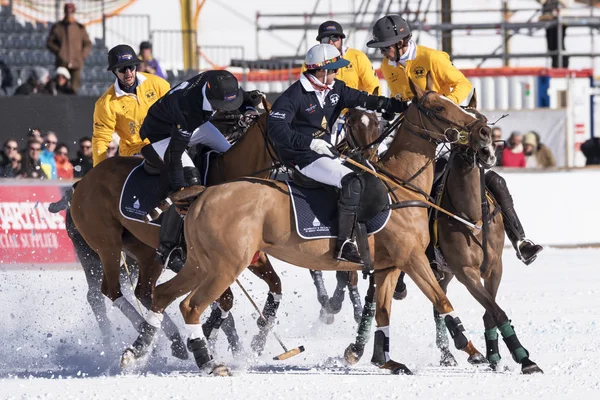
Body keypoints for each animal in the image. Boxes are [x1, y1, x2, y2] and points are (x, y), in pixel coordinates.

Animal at [67, 107, 282, 360]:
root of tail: (80, 183)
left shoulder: (250, 255)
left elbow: (275, 284)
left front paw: (257, 339)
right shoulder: (207, 262)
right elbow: (226, 300)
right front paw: (209, 335)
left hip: (144, 251)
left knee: (143, 291)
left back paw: (172, 339)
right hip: (104, 245)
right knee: (109, 290)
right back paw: (147, 336)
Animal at [120, 79, 492, 376]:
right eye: (437, 107)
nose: (484, 130)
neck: (399, 186)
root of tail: (203, 193)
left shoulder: (389, 266)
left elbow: (383, 313)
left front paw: (385, 360)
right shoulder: (412, 259)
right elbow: (442, 301)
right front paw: (474, 351)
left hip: (201, 263)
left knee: (162, 296)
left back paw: (135, 353)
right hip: (225, 265)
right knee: (190, 306)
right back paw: (209, 362)